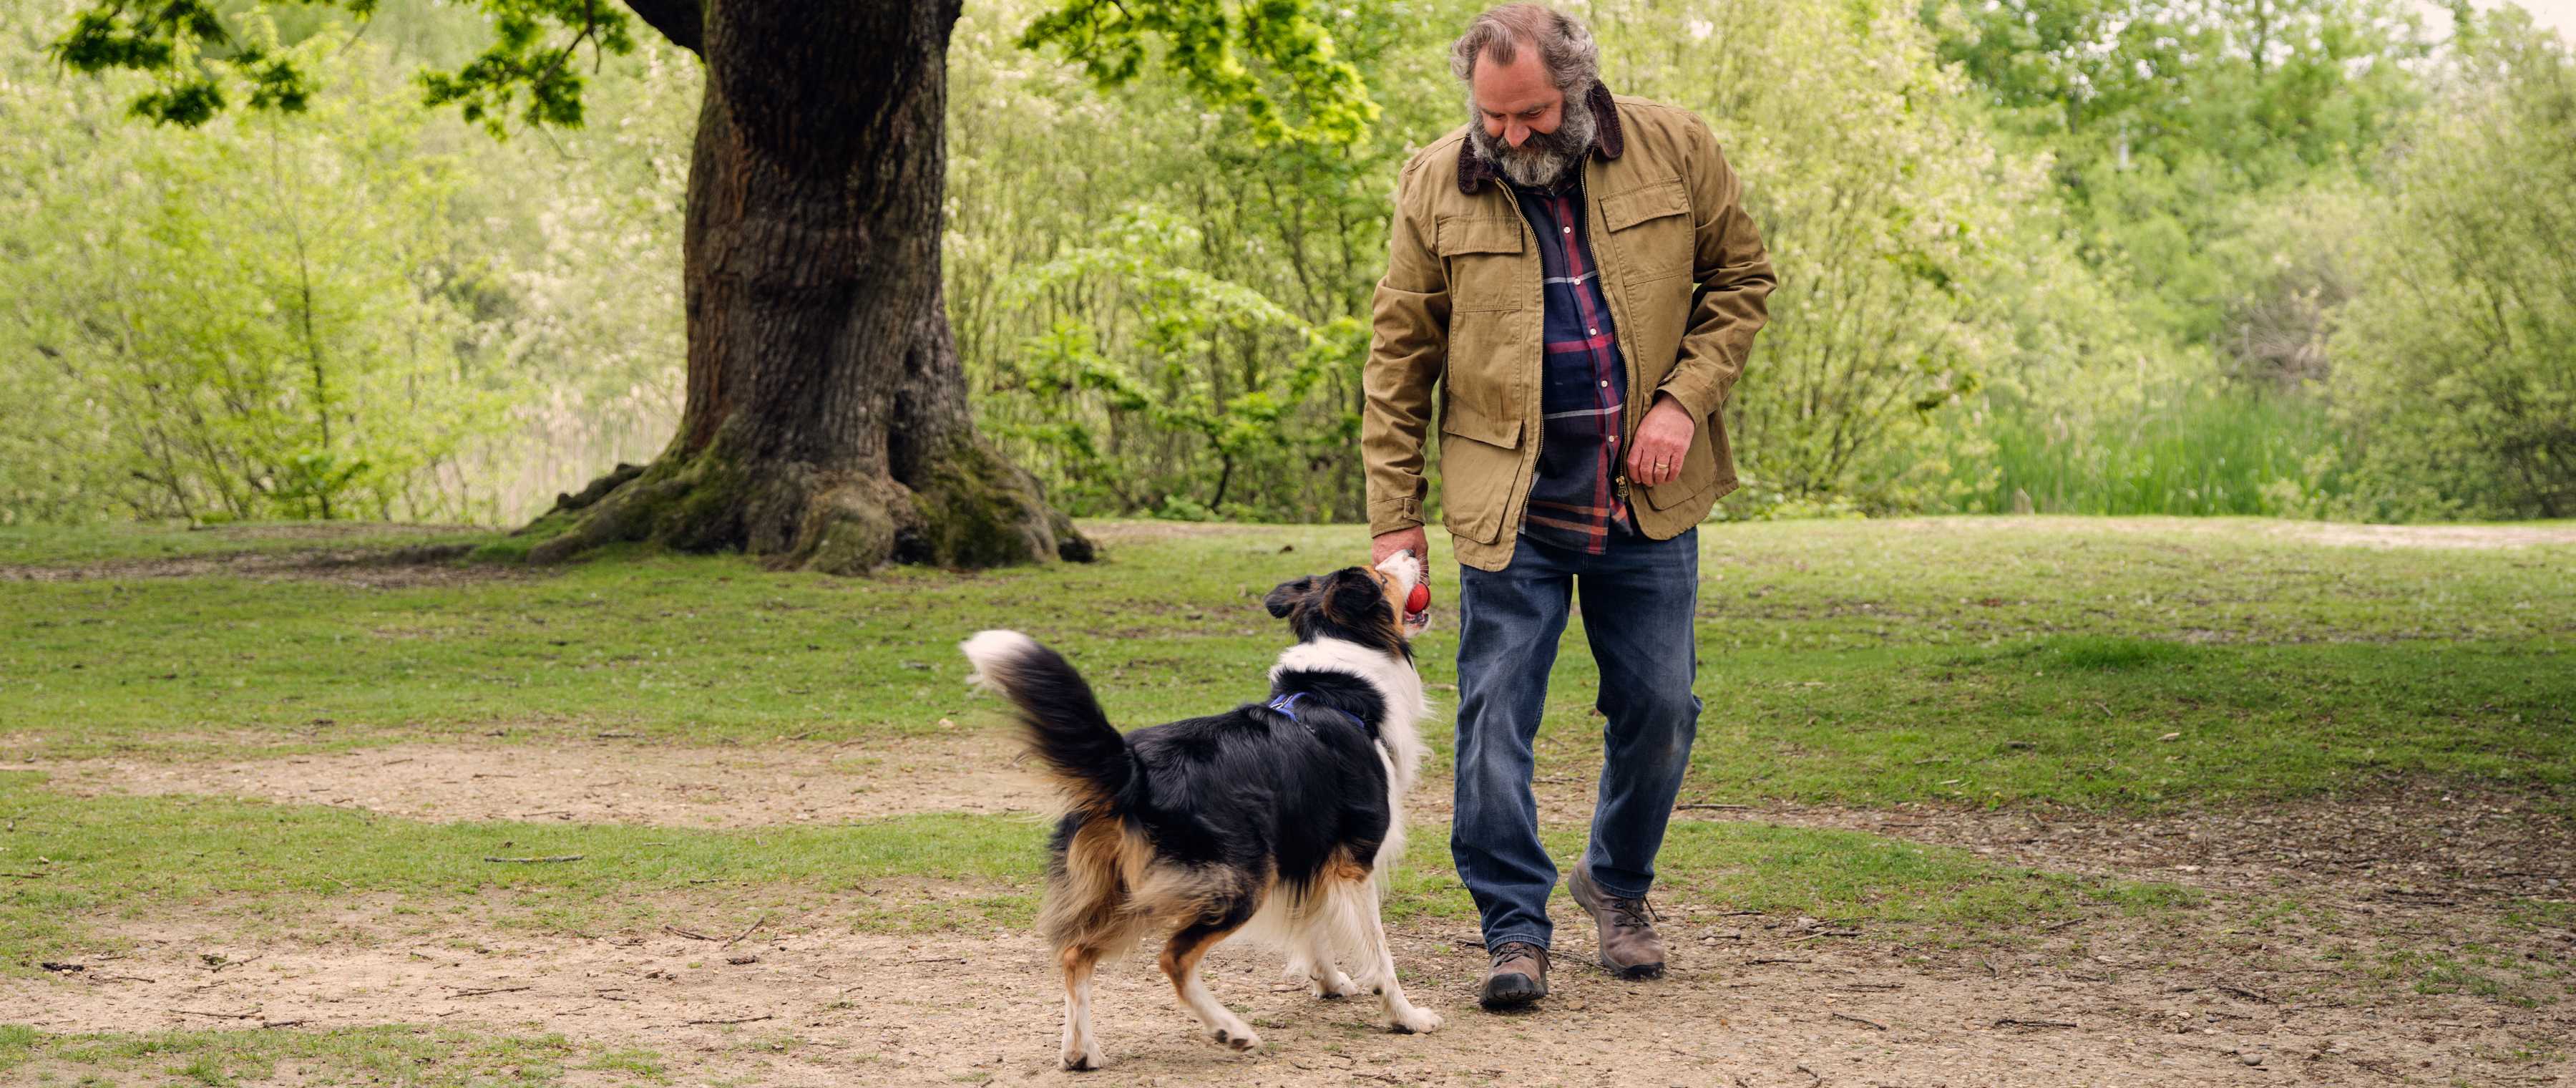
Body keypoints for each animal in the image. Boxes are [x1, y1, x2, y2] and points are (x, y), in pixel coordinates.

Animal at [963, 557, 1453, 1067]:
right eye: (1381, 575)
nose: (1413, 557)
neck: (1338, 680)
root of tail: (1133, 770)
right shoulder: (1354, 862)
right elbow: (1379, 954)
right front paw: (1405, 1016)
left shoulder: (1308, 848)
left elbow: (1313, 924)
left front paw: (1330, 982)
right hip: (1237, 879)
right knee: (1173, 958)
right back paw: (1230, 1030)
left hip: (1123, 887)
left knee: (1076, 953)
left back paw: (1081, 1051)